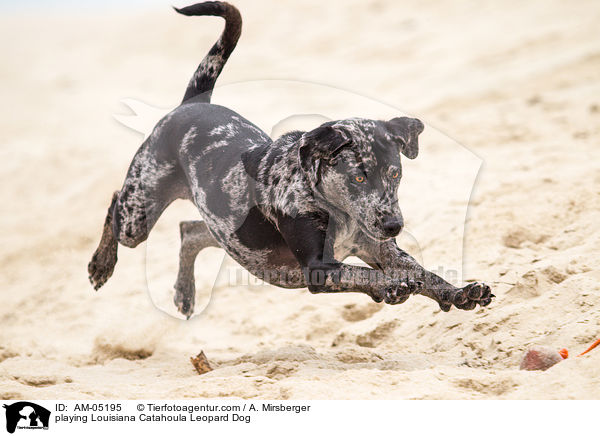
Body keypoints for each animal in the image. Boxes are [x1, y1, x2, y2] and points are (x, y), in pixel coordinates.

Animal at [88, 1, 492, 318]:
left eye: (395, 174)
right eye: (358, 177)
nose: (394, 225)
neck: (336, 210)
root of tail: (192, 104)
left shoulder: (381, 249)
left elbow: (424, 274)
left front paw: (458, 292)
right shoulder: (319, 267)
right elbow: (370, 275)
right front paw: (392, 287)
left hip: (231, 235)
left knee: (190, 230)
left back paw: (184, 293)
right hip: (137, 215)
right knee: (115, 204)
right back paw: (101, 265)